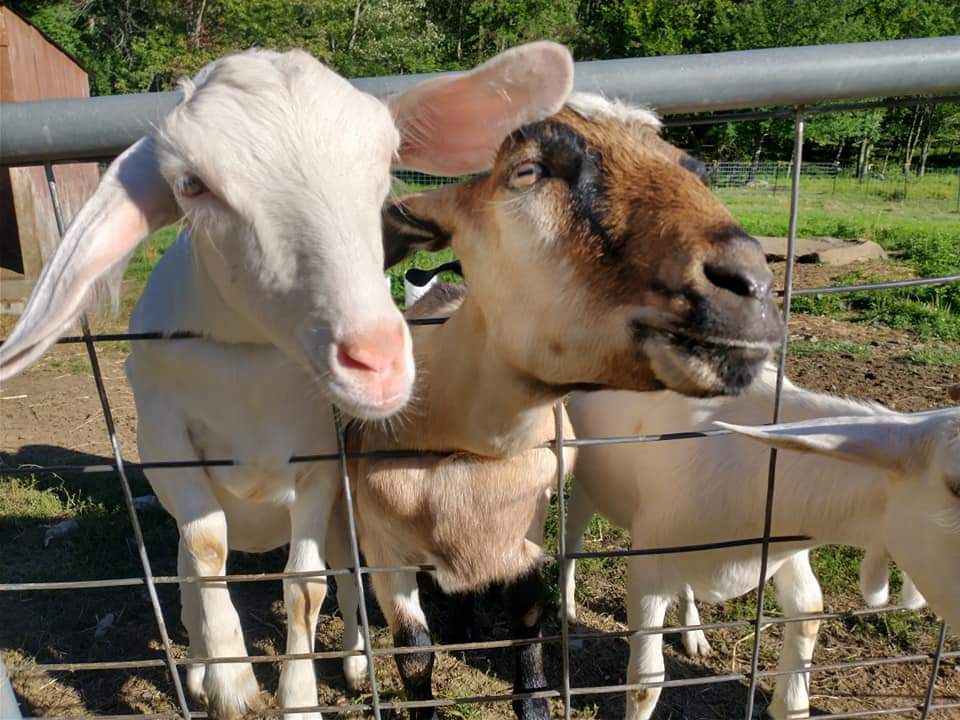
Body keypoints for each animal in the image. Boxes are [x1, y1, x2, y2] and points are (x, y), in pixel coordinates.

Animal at [0, 44, 576, 720]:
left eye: (385, 162)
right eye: (191, 185)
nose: (377, 358)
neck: (250, 369)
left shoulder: (321, 461)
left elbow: (305, 588)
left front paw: (298, 699)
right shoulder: (166, 448)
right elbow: (206, 555)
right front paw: (230, 683)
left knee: (346, 577)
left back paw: (356, 663)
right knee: (187, 579)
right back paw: (199, 671)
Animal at [354, 92, 784, 720]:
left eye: (696, 169)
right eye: (527, 172)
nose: (750, 289)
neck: (462, 447)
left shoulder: (526, 530)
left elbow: (530, 628)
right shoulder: (385, 550)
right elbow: (414, 655)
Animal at [564, 365, 960, 719]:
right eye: (955, 486)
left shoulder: (783, 546)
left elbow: (809, 613)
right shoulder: (651, 563)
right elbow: (646, 683)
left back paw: (694, 632)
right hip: (585, 485)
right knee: (572, 541)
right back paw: (566, 609)